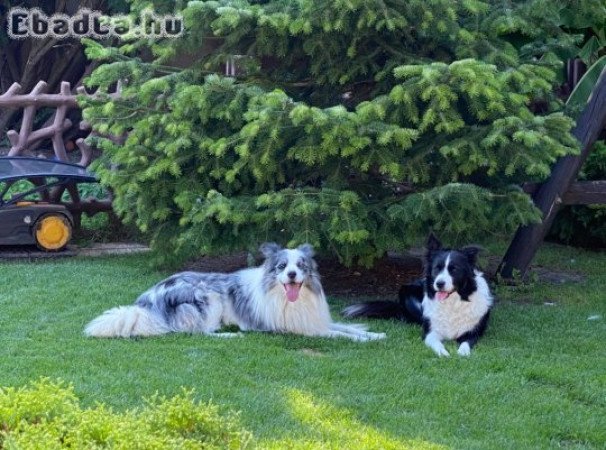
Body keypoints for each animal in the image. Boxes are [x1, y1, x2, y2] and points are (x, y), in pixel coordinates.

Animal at [85, 243, 388, 342]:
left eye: (301, 266)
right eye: (282, 267)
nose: (292, 275)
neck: (291, 300)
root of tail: (149, 300)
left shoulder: (316, 320)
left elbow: (345, 327)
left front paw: (374, 334)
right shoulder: (300, 329)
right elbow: (339, 335)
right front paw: (363, 339)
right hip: (209, 299)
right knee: (196, 333)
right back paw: (230, 334)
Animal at [342, 234, 494, 356]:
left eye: (454, 270)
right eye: (437, 268)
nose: (439, 284)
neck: (452, 303)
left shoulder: (472, 332)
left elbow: (465, 344)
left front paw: (462, 353)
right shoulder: (430, 331)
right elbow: (436, 343)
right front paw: (443, 353)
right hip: (408, 295)